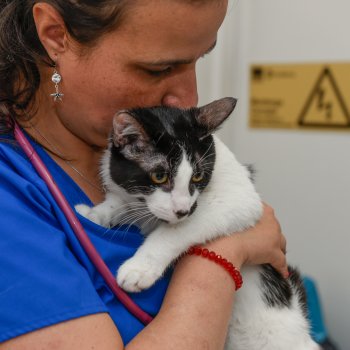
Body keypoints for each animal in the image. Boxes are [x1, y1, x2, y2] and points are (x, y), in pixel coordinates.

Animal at [76, 98, 320, 350]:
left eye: (198, 176)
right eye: (159, 176)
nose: (183, 211)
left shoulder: (240, 199)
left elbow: (174, 230)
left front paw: (140, 267)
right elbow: (119, 203)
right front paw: (94, 213)